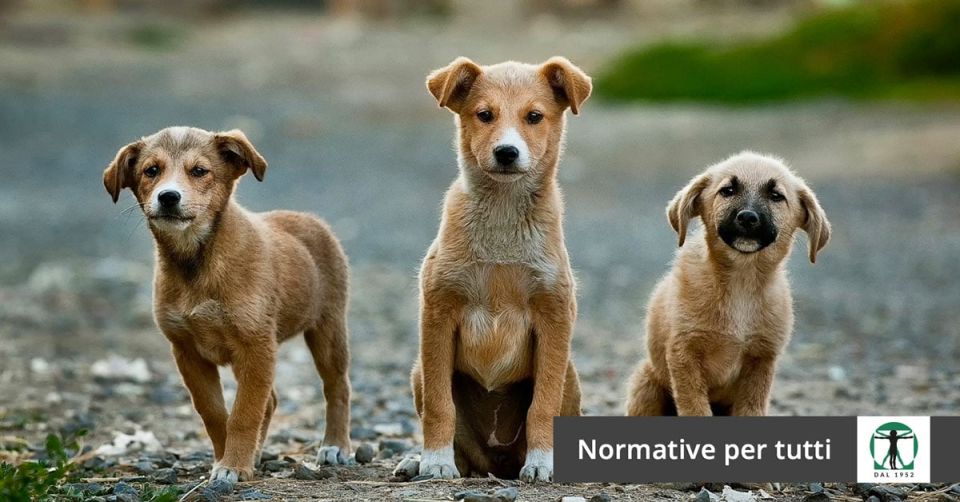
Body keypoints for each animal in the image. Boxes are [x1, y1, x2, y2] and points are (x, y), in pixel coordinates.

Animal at [102, 125, 356, 482]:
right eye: (151, 171)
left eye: (199, 171)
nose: (168, 197)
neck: (197, 263)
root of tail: (309, 219)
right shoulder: (187, 351)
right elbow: (214, 412)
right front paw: (228, 460)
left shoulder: (256, 346)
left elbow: (244, 413)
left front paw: (233, 465)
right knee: (271, 400)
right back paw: (259, 453)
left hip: (327, 328)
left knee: (337, 387)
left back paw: (335, 445)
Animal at [400, 56, 588, 480]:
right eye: (484, 115)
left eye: (534, 116)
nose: (506, 152)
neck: (503, 217)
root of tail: (497, 462)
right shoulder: (438, 312)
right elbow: (439, 405)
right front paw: (435, 461)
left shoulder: (554, 315)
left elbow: (543, 405)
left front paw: (541, 462)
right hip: (418, 370)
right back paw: (421, 460)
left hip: (570, 375)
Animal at [628, 151, 828, 418]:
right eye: (728, 190)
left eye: (776, 196)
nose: (748, 217)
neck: (740, 282)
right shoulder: (684, 353)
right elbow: (695, 407)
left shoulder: (762, 359)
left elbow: (751, 408)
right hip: (645, 384)